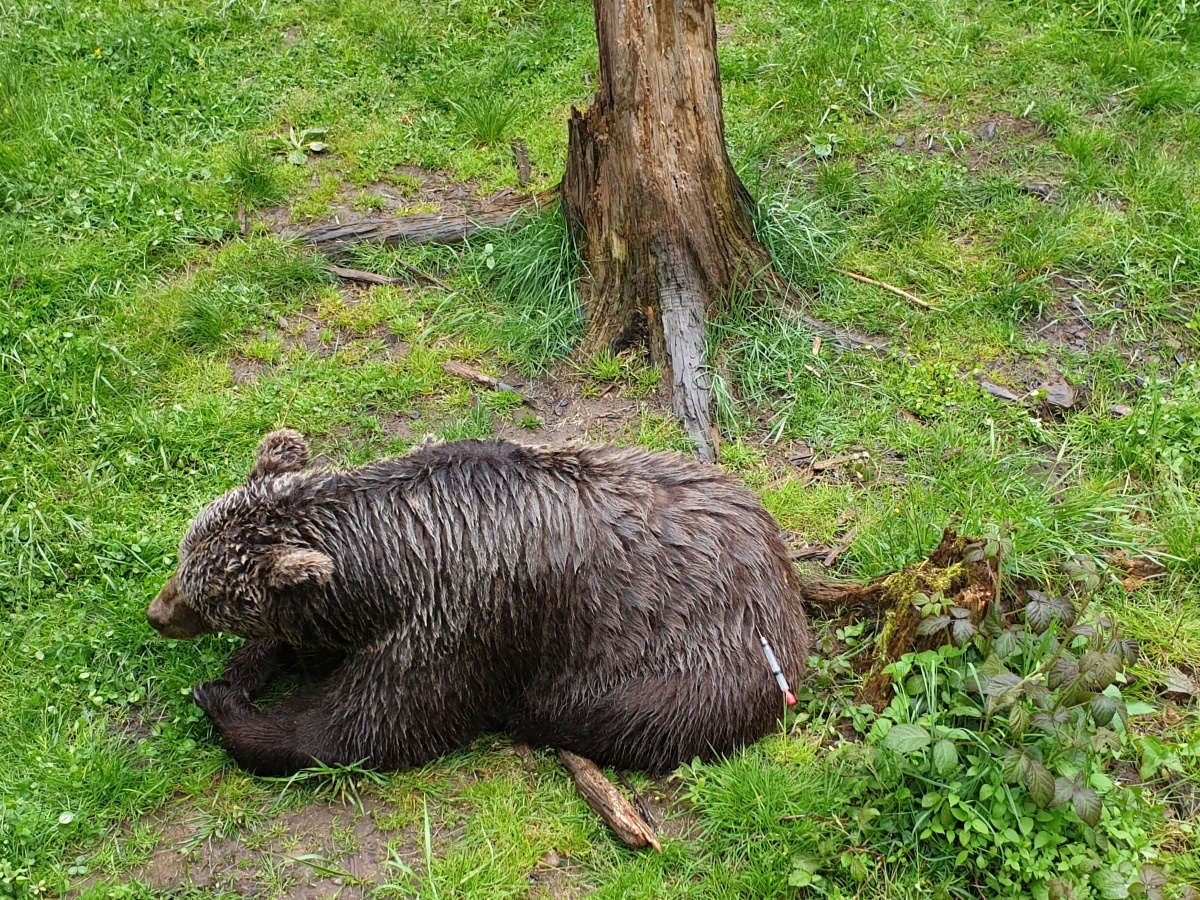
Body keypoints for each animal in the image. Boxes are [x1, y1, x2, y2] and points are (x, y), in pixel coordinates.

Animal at [147, 429, 806, 777]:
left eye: (209, 596)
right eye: (183, 558)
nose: (157, 614)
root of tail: (781, 568)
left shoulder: (462, 620)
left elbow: (365, 728)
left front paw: (226, 704)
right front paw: (246, 668)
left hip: (691, 659)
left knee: (612, 715)